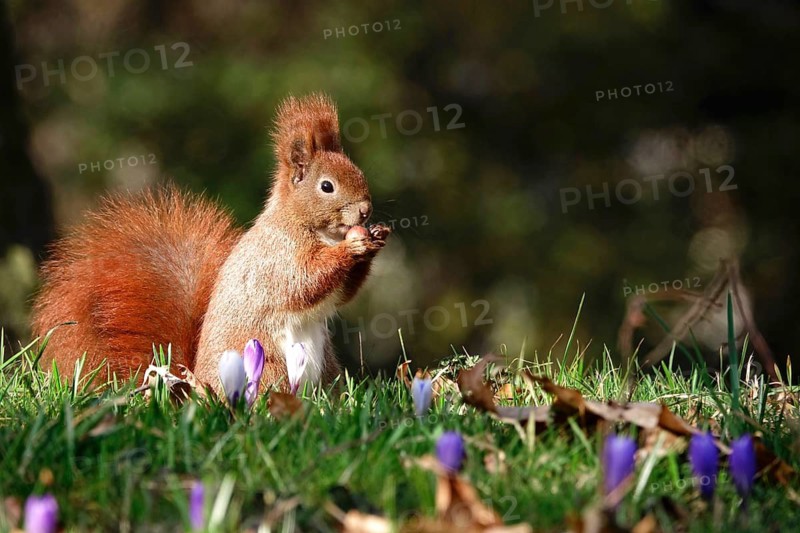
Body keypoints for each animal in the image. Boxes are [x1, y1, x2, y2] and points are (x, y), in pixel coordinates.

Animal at [31, 93, 391, 394]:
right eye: (327, 186)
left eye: (358, 172)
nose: (366, 210)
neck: (313, 228)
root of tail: (197, 387)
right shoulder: (277, 256)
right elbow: (303, 282)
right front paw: (351, 249)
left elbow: (341, 295)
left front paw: (376, 238)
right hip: (266, 362)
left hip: (326, 367)